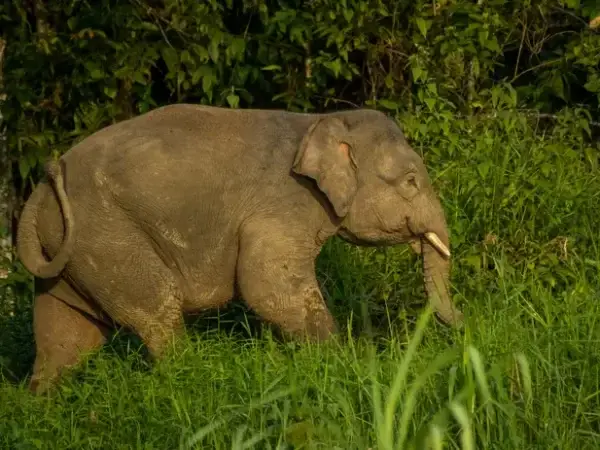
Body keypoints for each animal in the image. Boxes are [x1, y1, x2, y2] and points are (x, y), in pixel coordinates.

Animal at [15, 103, 464, 392]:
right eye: (410, 182)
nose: (465, 328)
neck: (321, 121)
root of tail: (40, 191)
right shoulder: (281, 205)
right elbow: (270, 288)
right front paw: (343, 360)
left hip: (72, 254)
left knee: (65, 336)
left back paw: (40, 406)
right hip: (108, 237)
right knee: (157, 309)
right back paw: (186, 379)